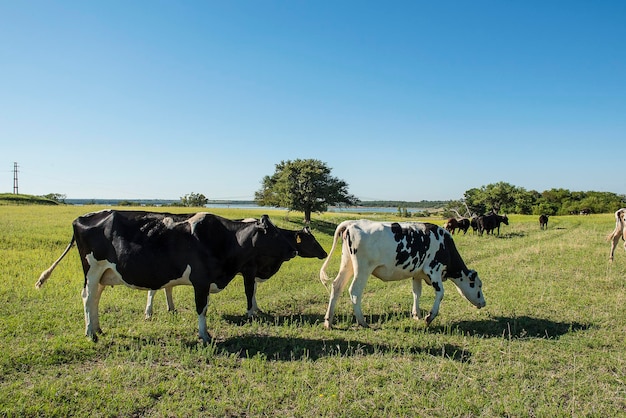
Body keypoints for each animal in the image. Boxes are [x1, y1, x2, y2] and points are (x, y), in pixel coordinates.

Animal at [34, 211, 298, 342]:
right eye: (275, 233)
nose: (294, 249)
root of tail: (81, 218)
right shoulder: (201, 280)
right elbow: (201, 308)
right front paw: (204, 335)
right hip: (92, 268)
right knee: (88, 298)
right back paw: (90, 333)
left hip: (103, 273)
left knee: (95, 299)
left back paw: (98, 329)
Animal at [143, 225, 326, 316]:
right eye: (312, 240)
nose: (324, 253)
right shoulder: (250, 270)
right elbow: (249, 291)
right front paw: (251, 312)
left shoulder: (253, 272)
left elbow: (254, 291)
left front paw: (257, 309)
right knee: (153, 289)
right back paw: (148, 312)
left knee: (168, 287)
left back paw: (171, 308)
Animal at [320, 219, 486, 330]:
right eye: (478, 285)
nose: (483, 303)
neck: (445, 245)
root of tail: (351, 223)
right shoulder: (433, 269)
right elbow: (440, 293)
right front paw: (429, 317)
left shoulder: (418, 273)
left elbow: (416, 293)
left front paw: (417, 315)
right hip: (362, 269)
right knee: (354, 291)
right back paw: (363, 322)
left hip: (347, 264)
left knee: (336, 286)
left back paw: (328, 321)